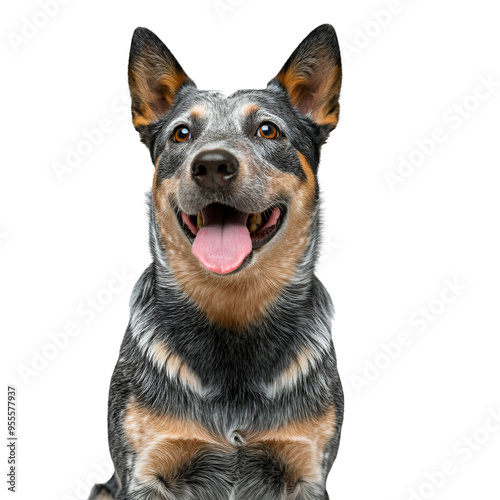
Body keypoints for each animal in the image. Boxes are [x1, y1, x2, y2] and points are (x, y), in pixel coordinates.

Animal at [89, 21, 344, 498]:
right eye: (181, 133)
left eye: (268, 130)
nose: (211, 164)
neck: (232, 312)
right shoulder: (145, 468)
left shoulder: (305, 469)